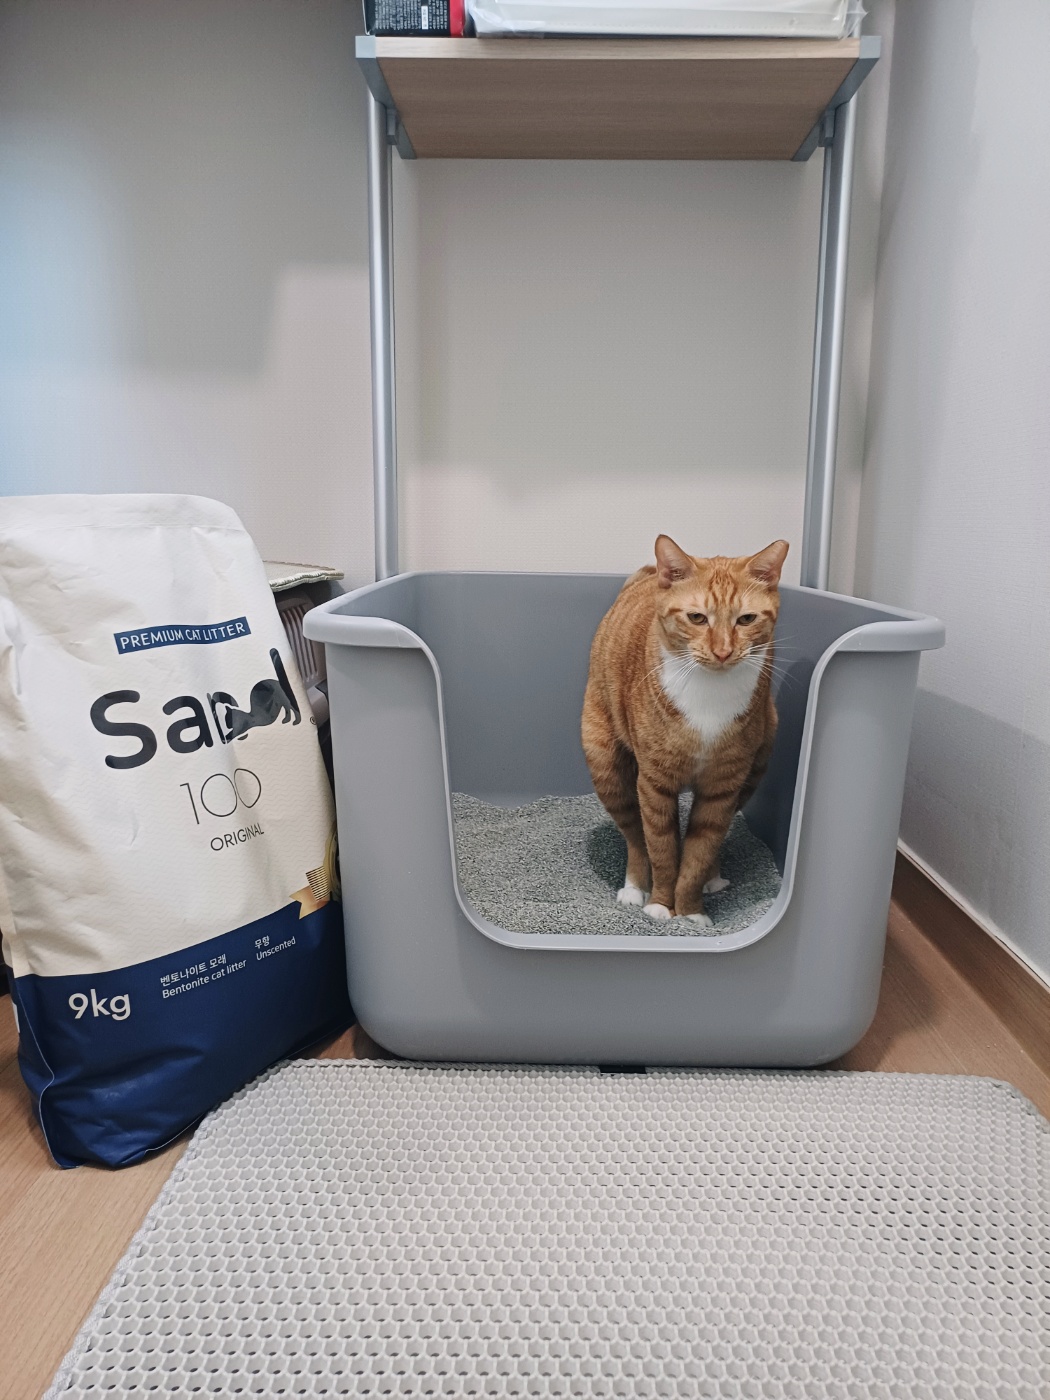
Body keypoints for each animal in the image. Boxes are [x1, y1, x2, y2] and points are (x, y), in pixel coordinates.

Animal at [581, 535, 788, 927]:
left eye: (746, 619)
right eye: (697, 618)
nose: (723, 651)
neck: (709, 693)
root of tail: (646, 575)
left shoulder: (723, 787)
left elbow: (699, 850)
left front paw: (691, 911)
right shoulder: (655, 782)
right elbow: (661, 847)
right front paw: (662, 905)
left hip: (757, 765)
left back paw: (713, 877)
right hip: (607, 767)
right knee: (635, 835)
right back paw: (635, 886)